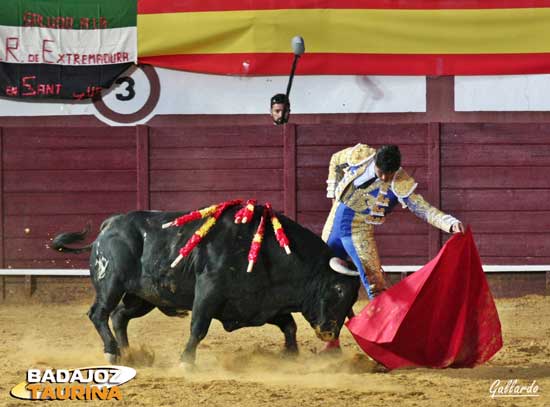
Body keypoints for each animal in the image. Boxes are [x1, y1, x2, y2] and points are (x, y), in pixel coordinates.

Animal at [52, 209, 362, 364]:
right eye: (338, 291)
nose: (329, 332)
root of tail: (109, 224)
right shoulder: (208, 292)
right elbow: (198, 328)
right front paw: (186, 362)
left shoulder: (259, 303)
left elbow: (289, 325)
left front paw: (290, 356)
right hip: (111, 283)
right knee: (99, 314)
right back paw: (112, 352)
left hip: (144, 297)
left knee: (118, 316)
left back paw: (129, 354)